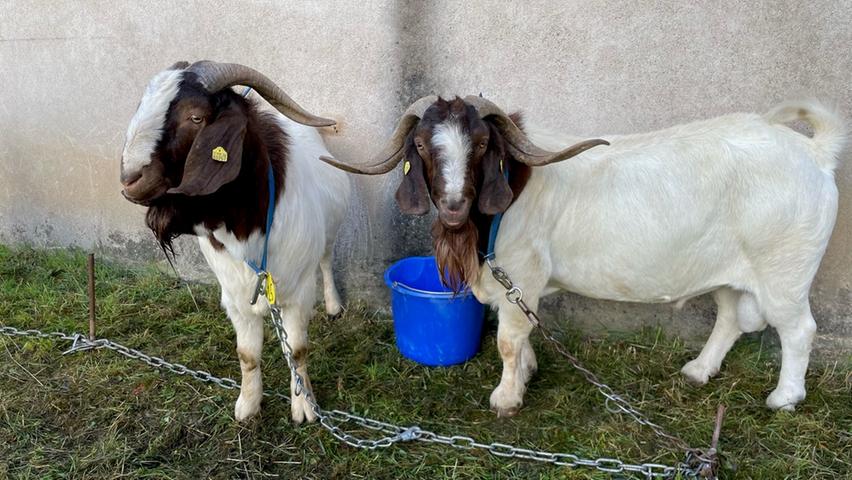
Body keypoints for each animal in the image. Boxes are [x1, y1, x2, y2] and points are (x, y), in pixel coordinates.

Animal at [120, 61, 350, 424]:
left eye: (196, 117)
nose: (130, 179)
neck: (248, 224)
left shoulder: (297, 294)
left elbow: (297, 351)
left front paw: (305, 408)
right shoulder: (234, 295)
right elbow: (247, 354)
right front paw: (247, 406)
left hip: (330, 230)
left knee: (326, 261)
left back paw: (333, 306)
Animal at [324, 95, 844, 414]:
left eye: (483, 143)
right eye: (420, 144)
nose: (453, 206)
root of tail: (817, 154)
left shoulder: (522, 275)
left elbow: (508, 340)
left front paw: (506, 398)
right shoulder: (520, 286)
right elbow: (526, 332)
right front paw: (529, 373)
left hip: (783, 273)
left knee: (799, 330)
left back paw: (783, 399)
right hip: (731, 273)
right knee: (731, 317)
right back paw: (698, 371)